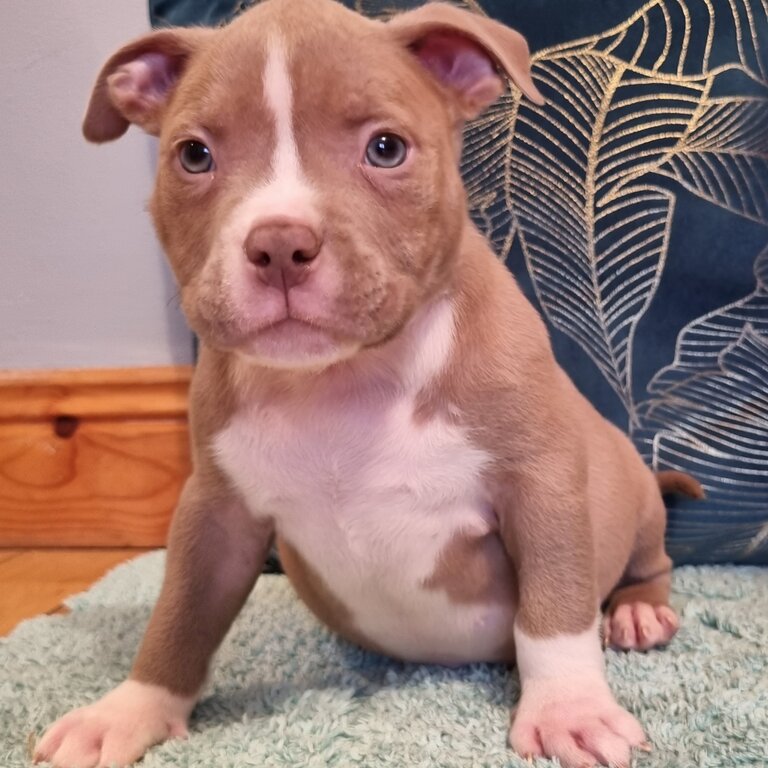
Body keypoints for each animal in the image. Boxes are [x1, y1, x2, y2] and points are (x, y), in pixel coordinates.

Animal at [39, 3, 704, 764]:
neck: (343, 379)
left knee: (648, 560)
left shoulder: (542, 484)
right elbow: (180, 616)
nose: (279, 245)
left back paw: (639, 613)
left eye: (386, 149)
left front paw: (570, 709)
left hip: (632, 489)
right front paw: (129, 710)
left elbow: (554, 607)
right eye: (194, 156)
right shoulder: (214, 511)